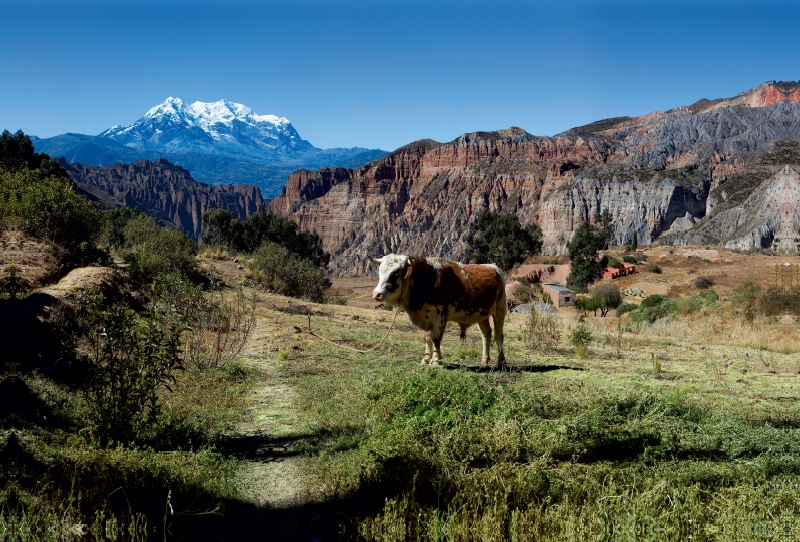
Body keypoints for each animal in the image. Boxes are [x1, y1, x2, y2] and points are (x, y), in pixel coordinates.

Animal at [368, 256, 506, 368]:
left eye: (395, 273)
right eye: (380, 272)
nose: (376, 294)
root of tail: (492, 267)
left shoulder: (439, 315)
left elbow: (435, 338)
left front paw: (435, 359)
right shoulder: (426, 317)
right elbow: (427, 338)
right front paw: (425, 358)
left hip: (500, 311)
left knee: (499, 336)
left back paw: (501, 361)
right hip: (483, 314)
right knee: (486, 334)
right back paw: (484, 360)